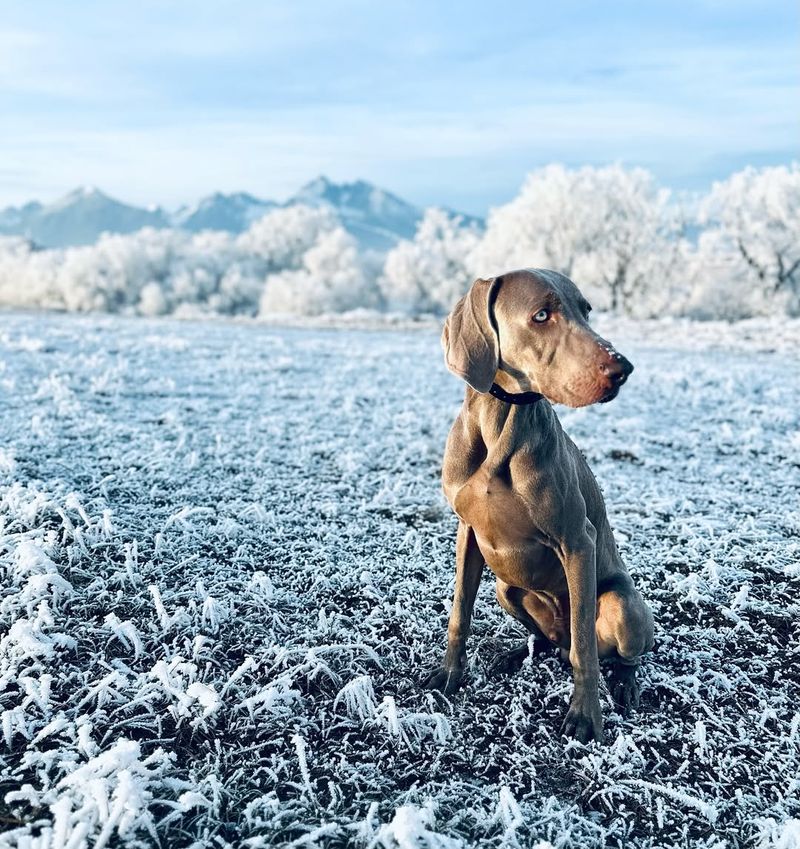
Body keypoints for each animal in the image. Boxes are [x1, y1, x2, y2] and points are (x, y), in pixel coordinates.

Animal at [422, 268, 652, 740]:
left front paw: (585, 715)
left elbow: (586, 650)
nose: (622, 368)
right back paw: (519, 653)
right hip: (506, 588)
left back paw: (625, 683)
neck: (502, 422)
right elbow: (459, 612)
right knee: (548, 640)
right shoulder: (467, 531)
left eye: (586, 310)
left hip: (622, 606)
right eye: (541, 315)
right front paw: (450, 674)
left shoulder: (578, 540)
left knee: (606, 651)